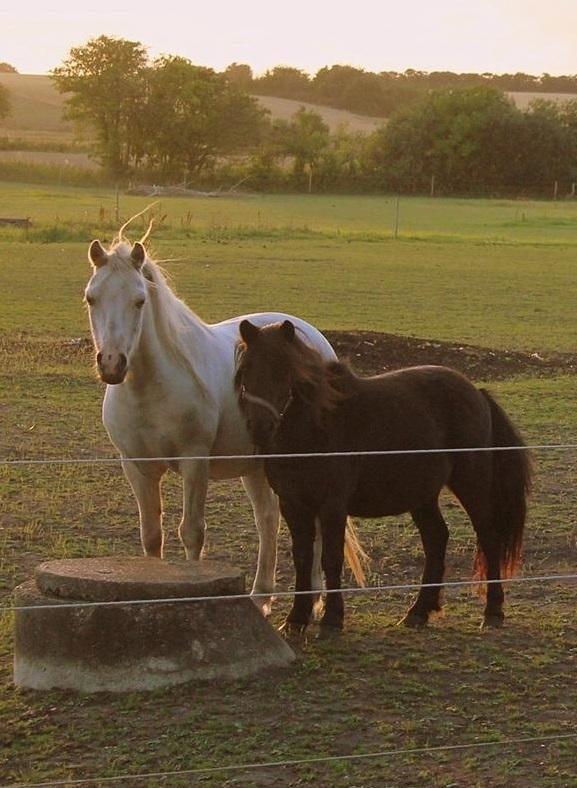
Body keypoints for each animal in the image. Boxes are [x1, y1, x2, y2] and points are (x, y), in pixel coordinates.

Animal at [85, 234, 338, 608]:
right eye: (91, 298)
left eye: (139, 301)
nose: (112, 363)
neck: (151, 388)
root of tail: (312, 337)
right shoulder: (137, 466)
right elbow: (151, 535)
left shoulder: (195, 461)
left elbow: (192, 532)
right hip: (257, 466)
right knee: (267, 519)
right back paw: (261, 595)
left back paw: (315, 593)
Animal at [235, 318, 532, 636]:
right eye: (247, 368)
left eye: (284, 369)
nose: (260, 428)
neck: (316, 428)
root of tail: (476, 392)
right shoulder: (293, 504)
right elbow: (302, 558)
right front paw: (296, 619)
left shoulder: (332, 505)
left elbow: (331, 558)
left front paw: (331, 619)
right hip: (422, 494)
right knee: (436, 538)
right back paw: (419, 611)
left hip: (471, 484)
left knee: (488, 537)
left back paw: (493, 611)